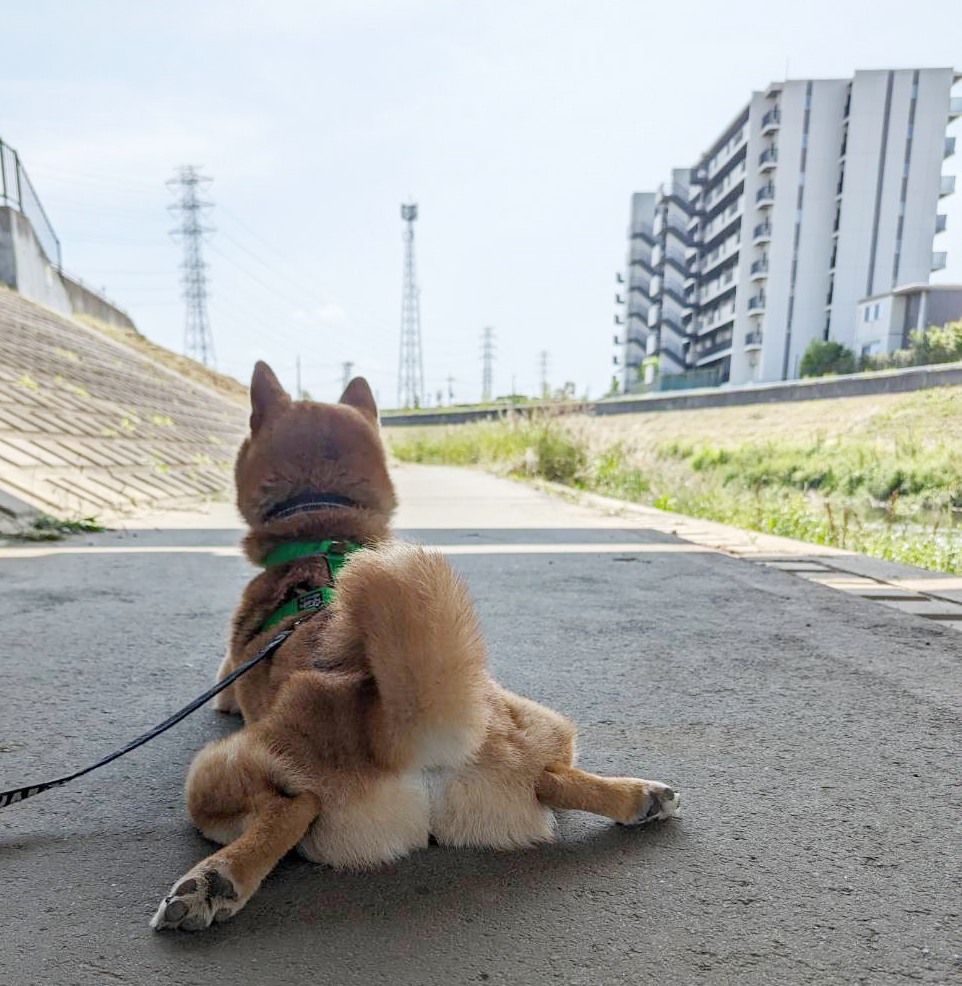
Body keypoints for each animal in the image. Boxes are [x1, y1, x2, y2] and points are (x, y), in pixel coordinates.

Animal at [150, 364, 680, 932]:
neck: (324, 531)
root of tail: (408, 736)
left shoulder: (227, 681)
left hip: (214, 773)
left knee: (293, 808)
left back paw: (216, 879)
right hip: (538, 726)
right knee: (553, 777)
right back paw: (638, 796)